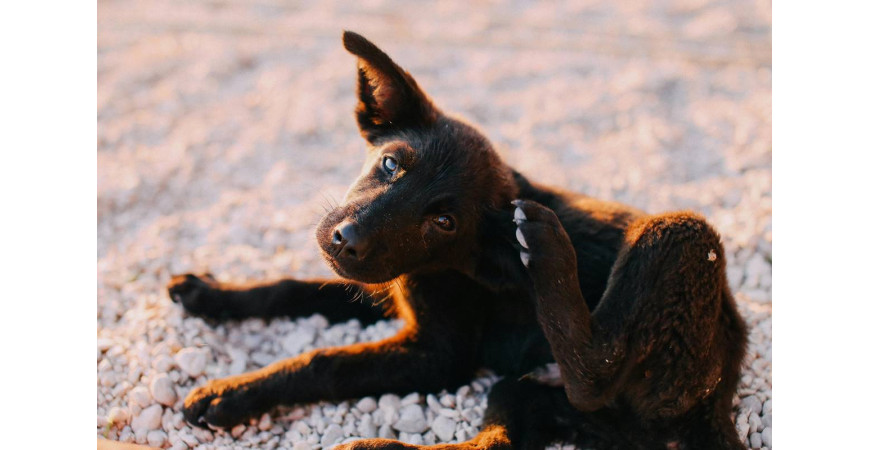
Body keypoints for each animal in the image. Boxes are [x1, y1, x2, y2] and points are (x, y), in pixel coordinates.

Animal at [170, 32, 748, 450]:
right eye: (390, 164)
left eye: (445, 221)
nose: (344, 240)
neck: (446, 264)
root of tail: (720, 392)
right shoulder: (384, 288)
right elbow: (291, 287)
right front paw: (210, 293)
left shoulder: (439, 354)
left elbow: (326, 362)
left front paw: (233, 392)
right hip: (538, 397)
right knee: (502, 435)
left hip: (680, 236)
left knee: (592, 373)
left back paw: (545, 249)